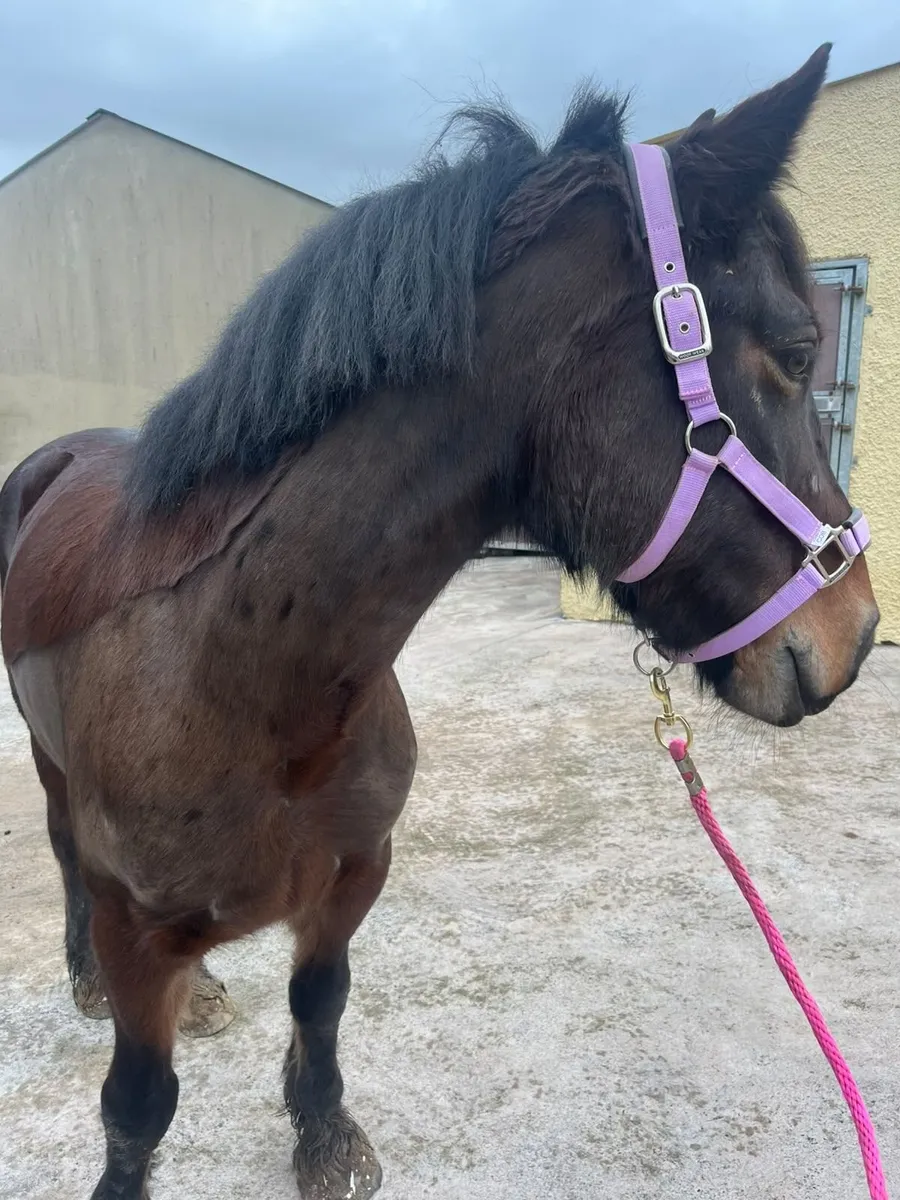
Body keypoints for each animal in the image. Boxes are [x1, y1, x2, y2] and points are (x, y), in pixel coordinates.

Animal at [0, 43, 878, 1200]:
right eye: (794, 348)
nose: (855, 635)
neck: (237, 675)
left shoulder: (353, 875)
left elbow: (319, 1004)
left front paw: (323, 1134)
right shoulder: (140, 932)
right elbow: (138, 1107)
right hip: (50, 772)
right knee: (64, 853)